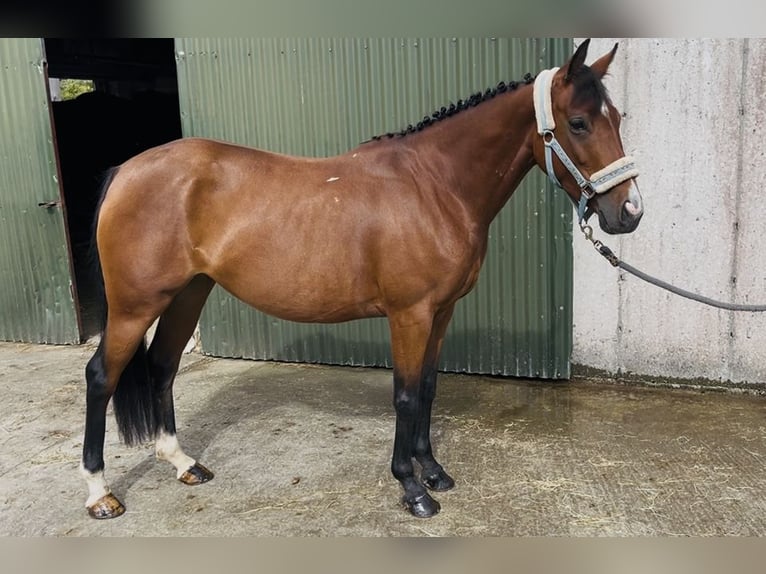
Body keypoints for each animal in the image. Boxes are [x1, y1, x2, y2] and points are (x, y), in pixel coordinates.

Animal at [80, 38, 643, 520]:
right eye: (578, 123)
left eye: (616, 117)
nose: (630, 212)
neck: (434, 185)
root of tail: (126, 171)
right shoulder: (410, 314)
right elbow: (406, 395)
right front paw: (412, 489)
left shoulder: (442, 311)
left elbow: (429, 388)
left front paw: (433, 471)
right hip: (135, 305)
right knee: (101, 376)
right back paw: (100, 493)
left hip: (187, 293)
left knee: (163, 365)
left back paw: (183, 464)